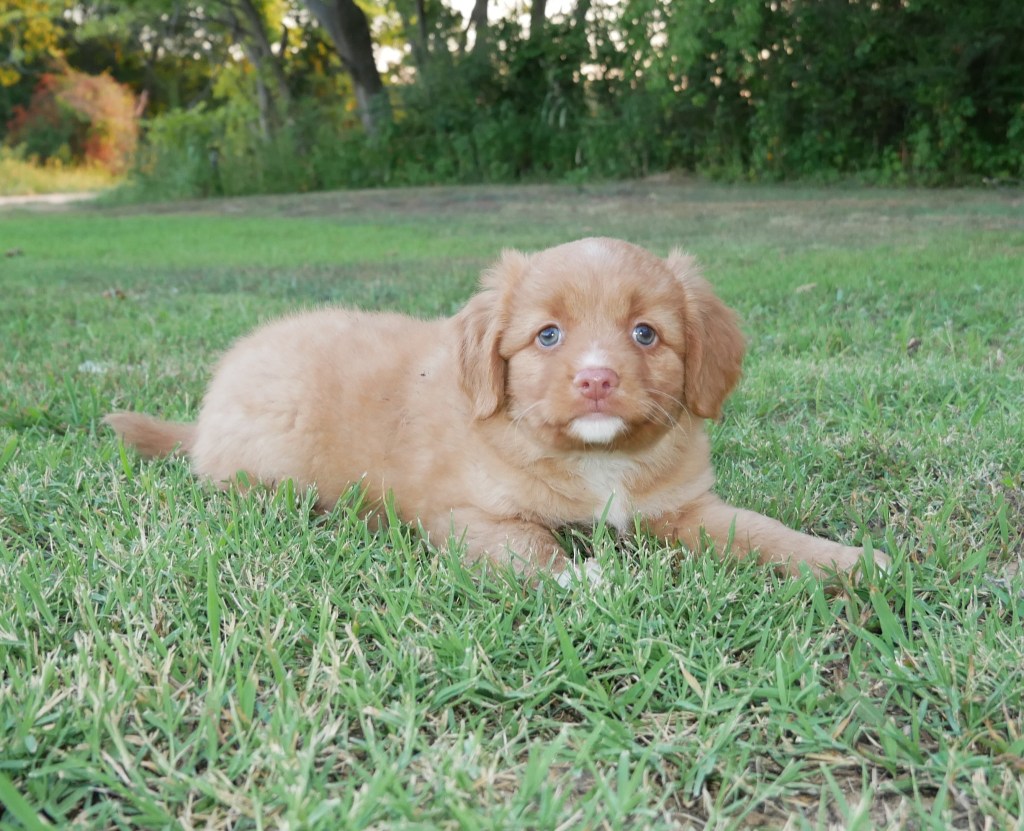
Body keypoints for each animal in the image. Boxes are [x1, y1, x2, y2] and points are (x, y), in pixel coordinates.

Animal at [105, 238, 888, 584]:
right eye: (548, 335)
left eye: (646, 334)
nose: (597, 380)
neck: (597, 459)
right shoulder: (467, 518)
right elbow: (533, 547)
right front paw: (582, 577)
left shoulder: (687, 508)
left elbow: (764, 530)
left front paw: (847, 560)